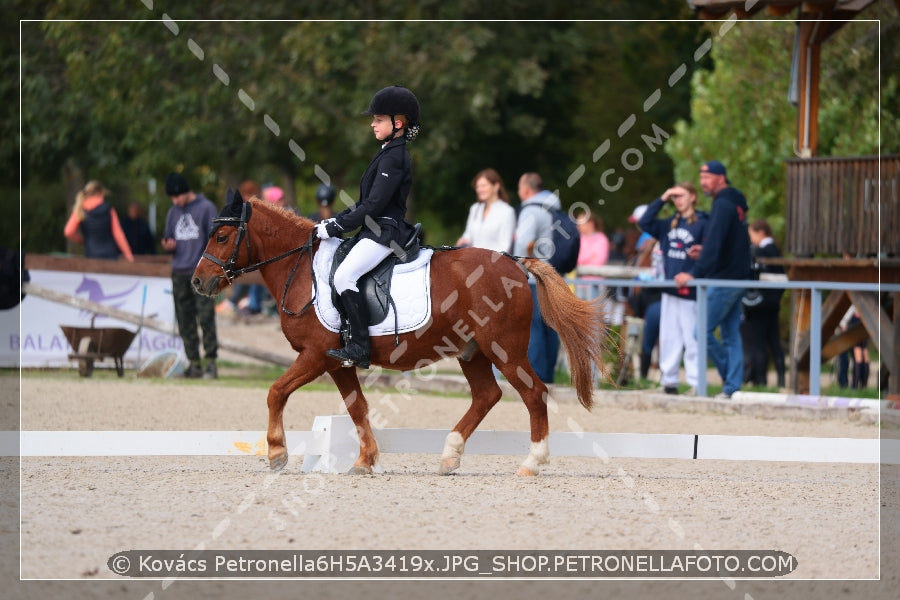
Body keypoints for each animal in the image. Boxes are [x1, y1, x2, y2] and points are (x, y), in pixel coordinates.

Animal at [192, 192, 612, 478]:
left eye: (223, 236)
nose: (198, 282)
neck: (302, 271)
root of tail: (513, 262)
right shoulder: (338, 362)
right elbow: (357, 408)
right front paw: (364, 461)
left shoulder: (315, 354)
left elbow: (276, 391)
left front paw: (277, 453)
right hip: (472, 351)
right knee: (487, 396)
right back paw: (449, 455)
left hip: (504, 348)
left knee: (533, 394)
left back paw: (531, 463)